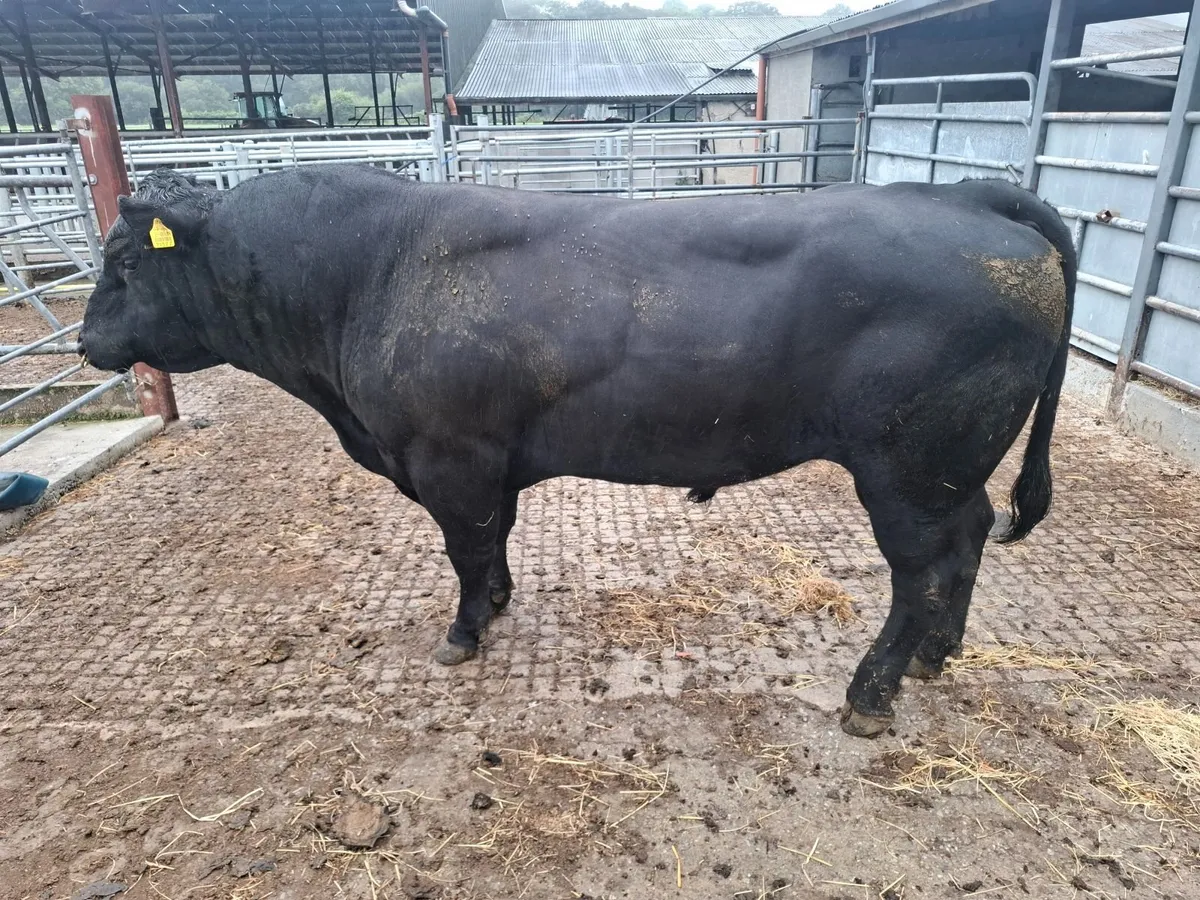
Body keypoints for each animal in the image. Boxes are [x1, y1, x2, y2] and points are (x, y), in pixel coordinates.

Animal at [80, 166, 1076, 737]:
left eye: (126, 261)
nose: (86, 343)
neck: (366, 271)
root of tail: (965, 198)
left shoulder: (449, 456)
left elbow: (465, 547)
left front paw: (464, 633)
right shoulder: (489, 461)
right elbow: (496, 541)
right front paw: (499, 604)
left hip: (909, 472)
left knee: (920, 575)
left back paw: (872, 693)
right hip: (950, 473)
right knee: (970, 542)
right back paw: (936, 657)